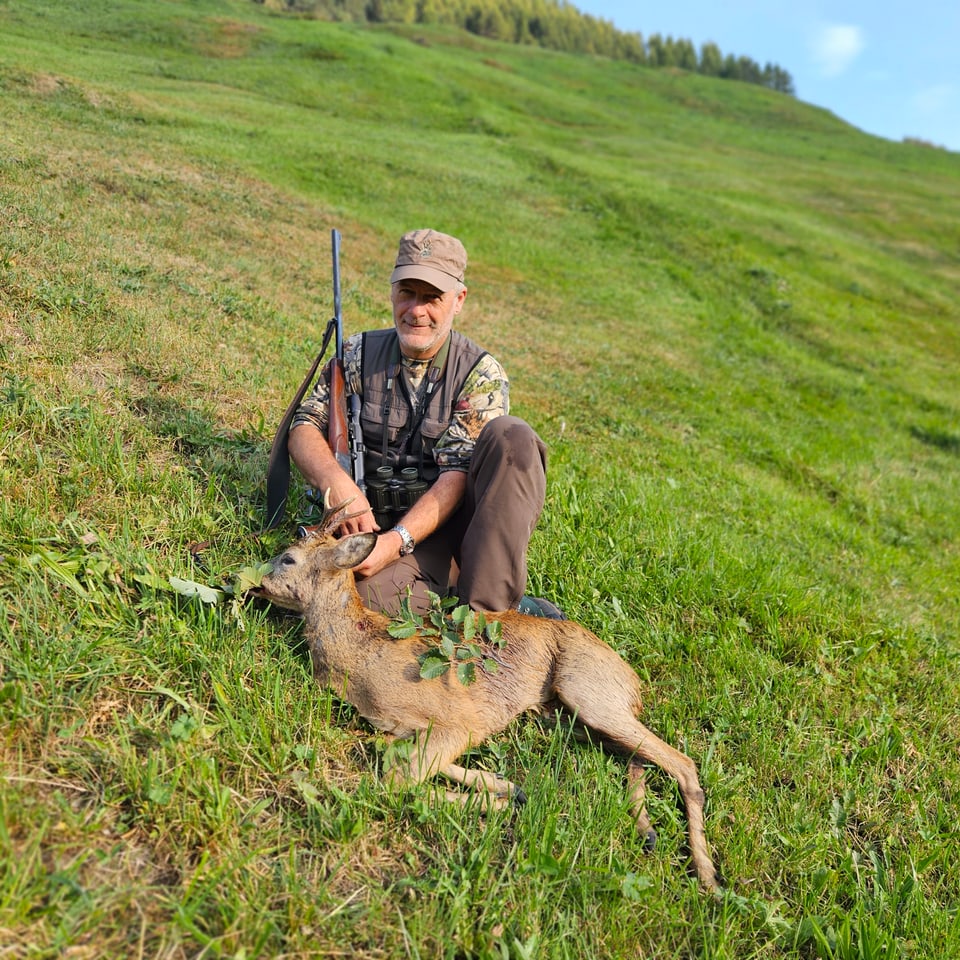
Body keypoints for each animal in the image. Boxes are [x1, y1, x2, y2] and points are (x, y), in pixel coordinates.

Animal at [255, 498, 720, 888]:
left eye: (288, 558)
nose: (250, 581)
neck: (359, 651)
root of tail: (635, 681)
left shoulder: (455, 720)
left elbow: (396, 779)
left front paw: (499, 802)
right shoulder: (401, 729)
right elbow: (399, 758)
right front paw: (505, 787)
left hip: (587, 692)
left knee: (683, 764)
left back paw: (708, 876)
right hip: (567, 715)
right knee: (639, 757)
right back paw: (649, 833)